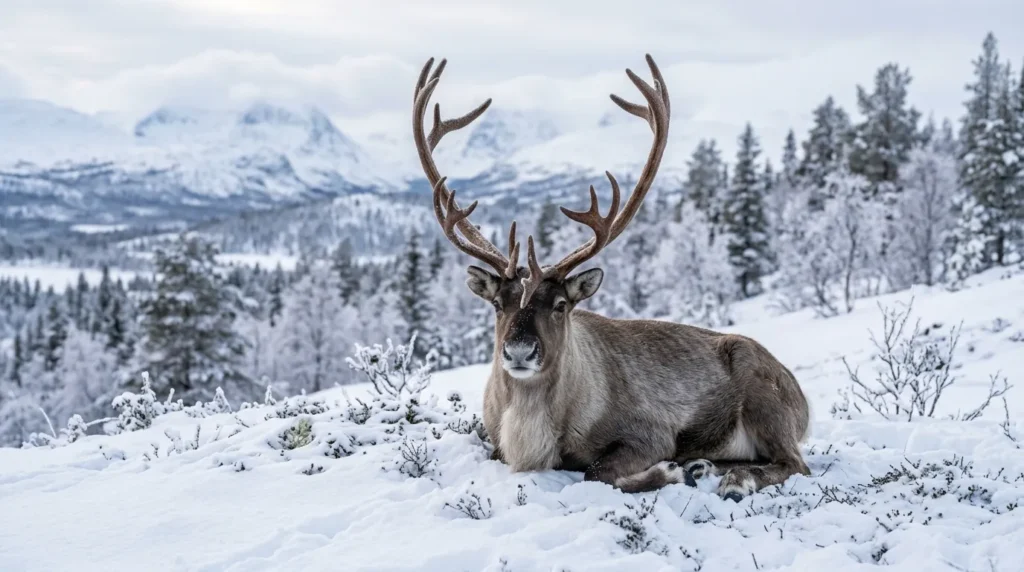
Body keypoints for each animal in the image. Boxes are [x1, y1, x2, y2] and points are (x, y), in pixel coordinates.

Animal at [411, 54, 811, 501]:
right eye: (498, 304)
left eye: (561, 305)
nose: (518, 352)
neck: (531, 433)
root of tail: (803, 402)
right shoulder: (494, 440)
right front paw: (686, 469)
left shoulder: (651, 432)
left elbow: (597, 472)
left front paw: (672, 472)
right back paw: (707, 465)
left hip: (763, 396)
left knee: (795, 463)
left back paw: (731, 478)